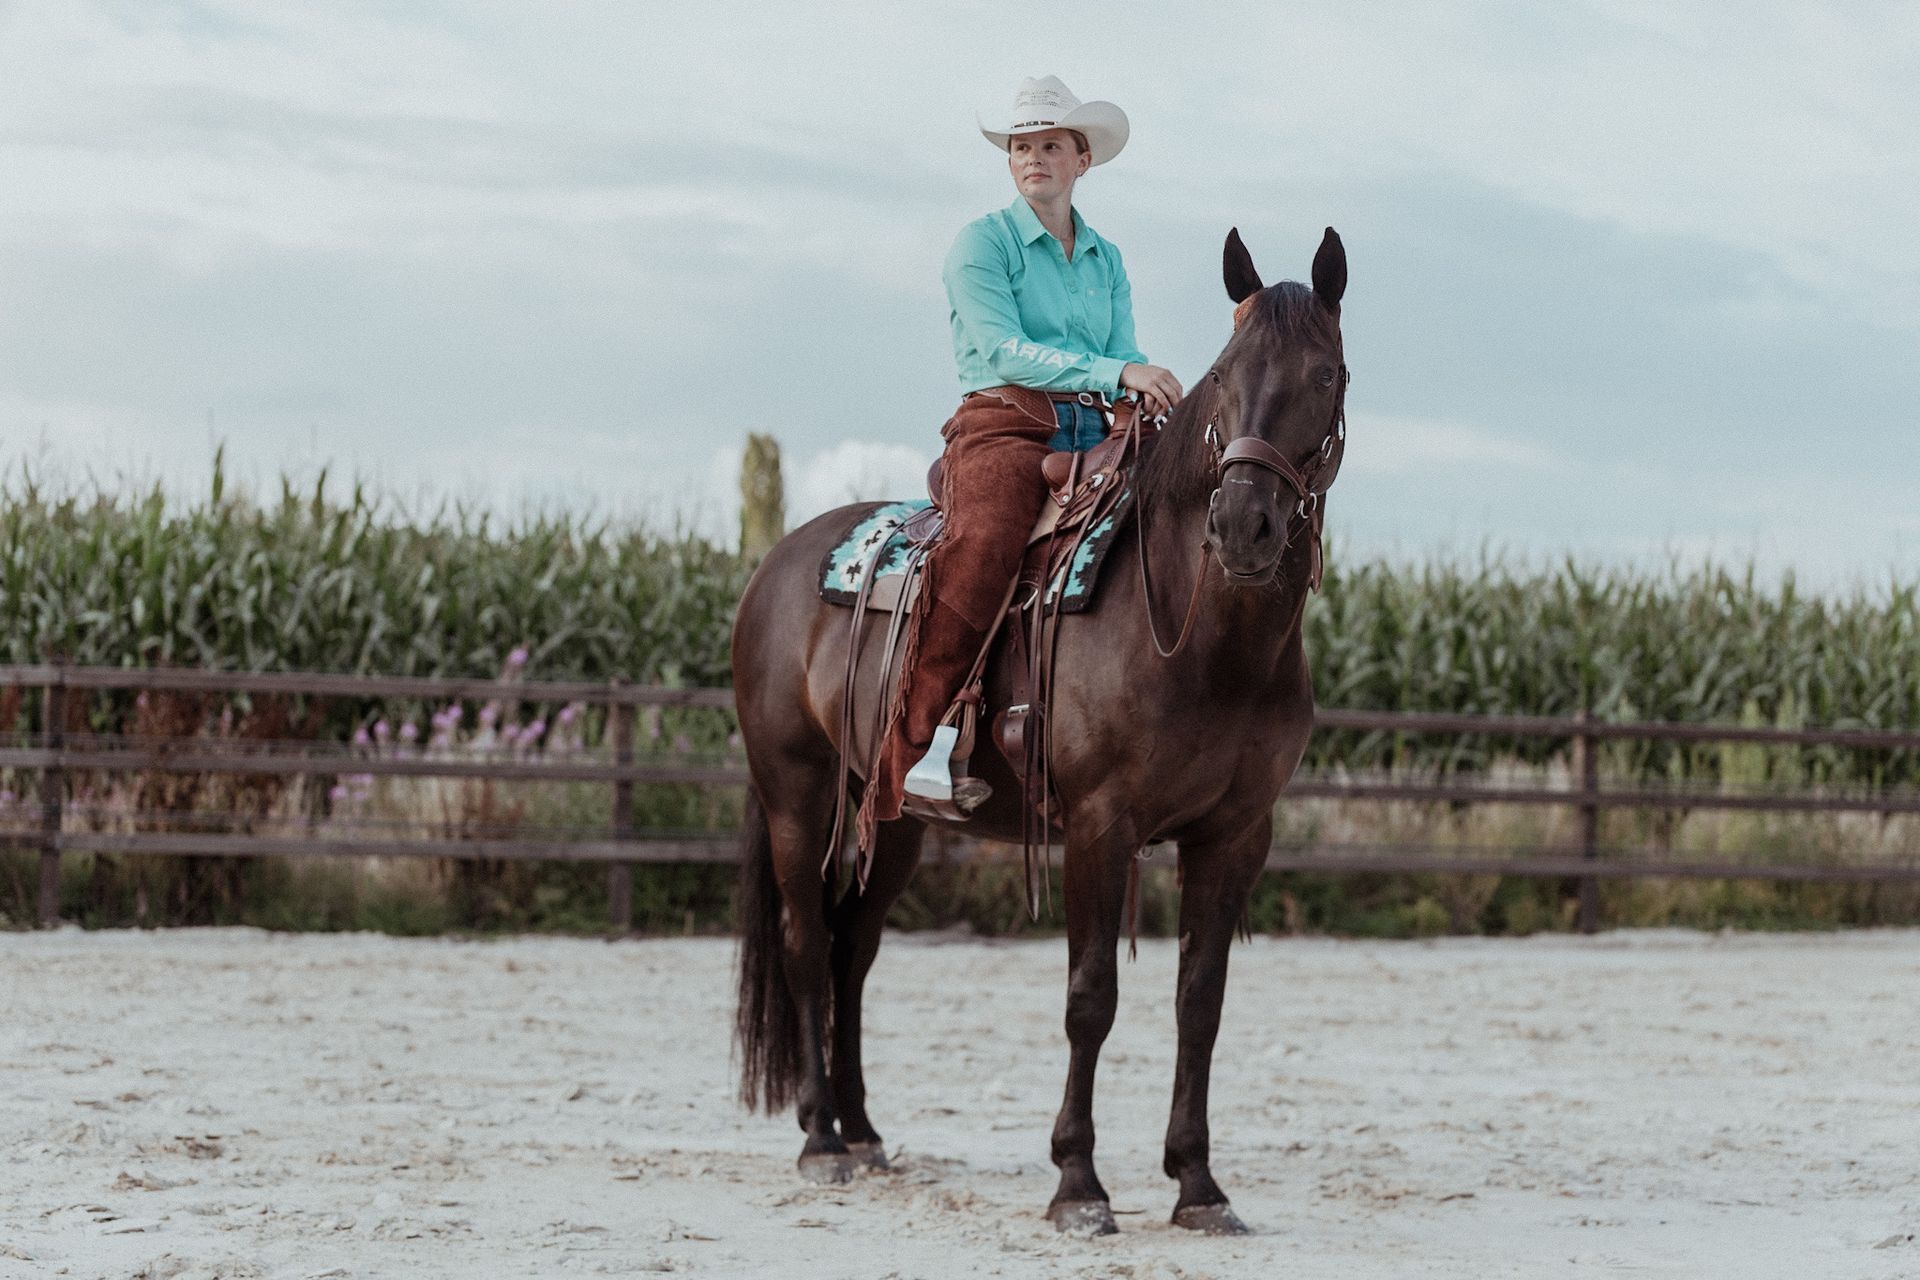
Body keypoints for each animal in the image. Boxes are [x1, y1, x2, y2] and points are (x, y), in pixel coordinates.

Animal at [730, 226, 1349, 1236]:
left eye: (1326, 373)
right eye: (1225, 376)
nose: (1244, 523)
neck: (1205, 640)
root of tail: (778, 562)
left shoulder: (1234, 835)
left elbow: (1200, 1004)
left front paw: (1198, 1184)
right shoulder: (1100, 826)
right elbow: (1090, 997)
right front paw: (1078, 1184)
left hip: (891, 817)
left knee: (855, 950)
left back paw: (862, 1130)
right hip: (797, 795)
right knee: (808, 946)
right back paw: (821, 1139)